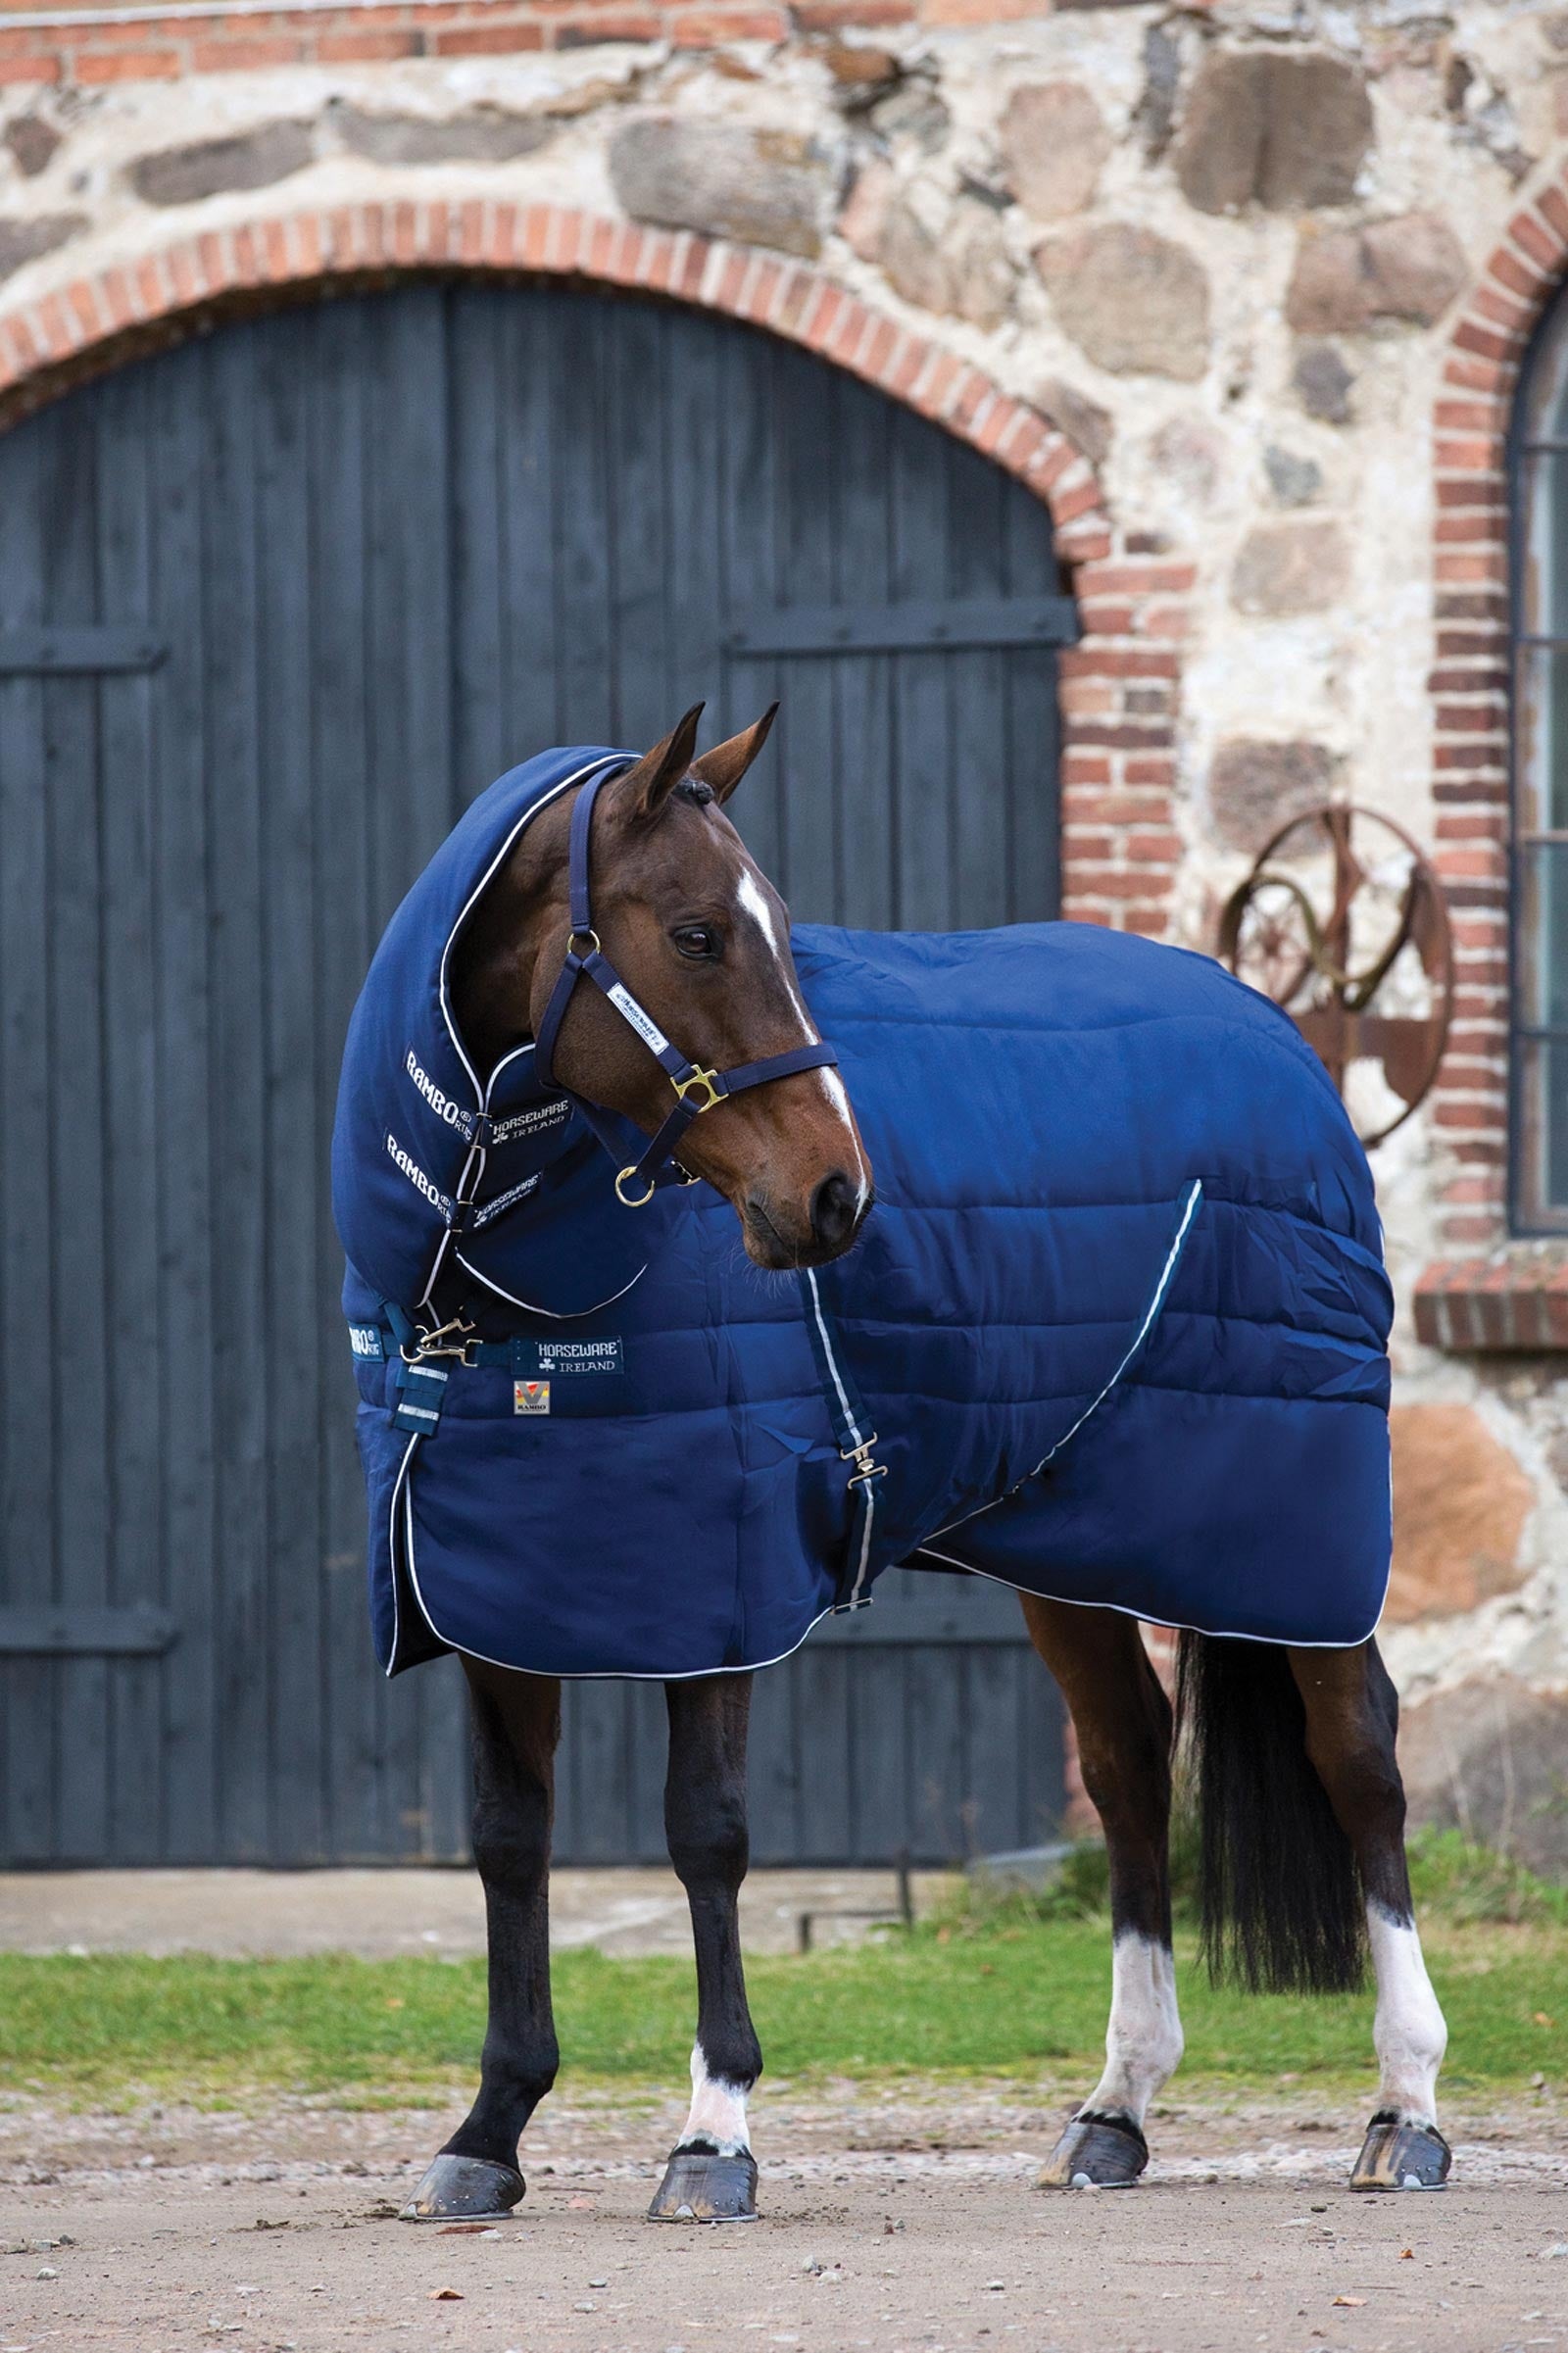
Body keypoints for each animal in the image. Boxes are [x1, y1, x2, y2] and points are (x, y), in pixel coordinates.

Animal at [330, 705, 1450, 2225]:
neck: (490, 1294)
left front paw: (713, 2134)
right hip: (1071, 1546)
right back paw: (1115, 2110)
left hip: (1290, 1527)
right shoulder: (491, 1586)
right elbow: (509, 1841)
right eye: (696, 933)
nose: (836, 1194)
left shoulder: (720, 1583)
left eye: (779, 930)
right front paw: (489, 2130)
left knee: (1360, 1760)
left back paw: (1406, 2106)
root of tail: (1279, 1038)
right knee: (1129, 1764)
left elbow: (706, 1831)